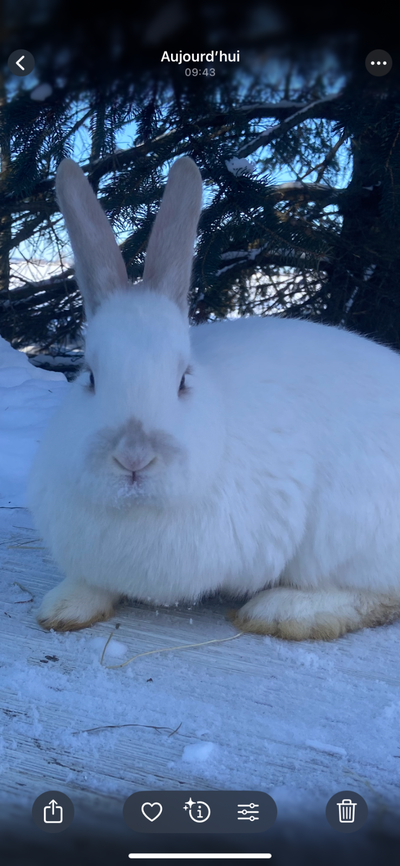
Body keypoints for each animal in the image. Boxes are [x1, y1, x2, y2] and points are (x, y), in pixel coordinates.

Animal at [28, 155, 400, 641]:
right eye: (89, 376)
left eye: (183, 379)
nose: (133, 458)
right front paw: (64, 607)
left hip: (350, 533)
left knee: (378, 595)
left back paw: (284, 611)